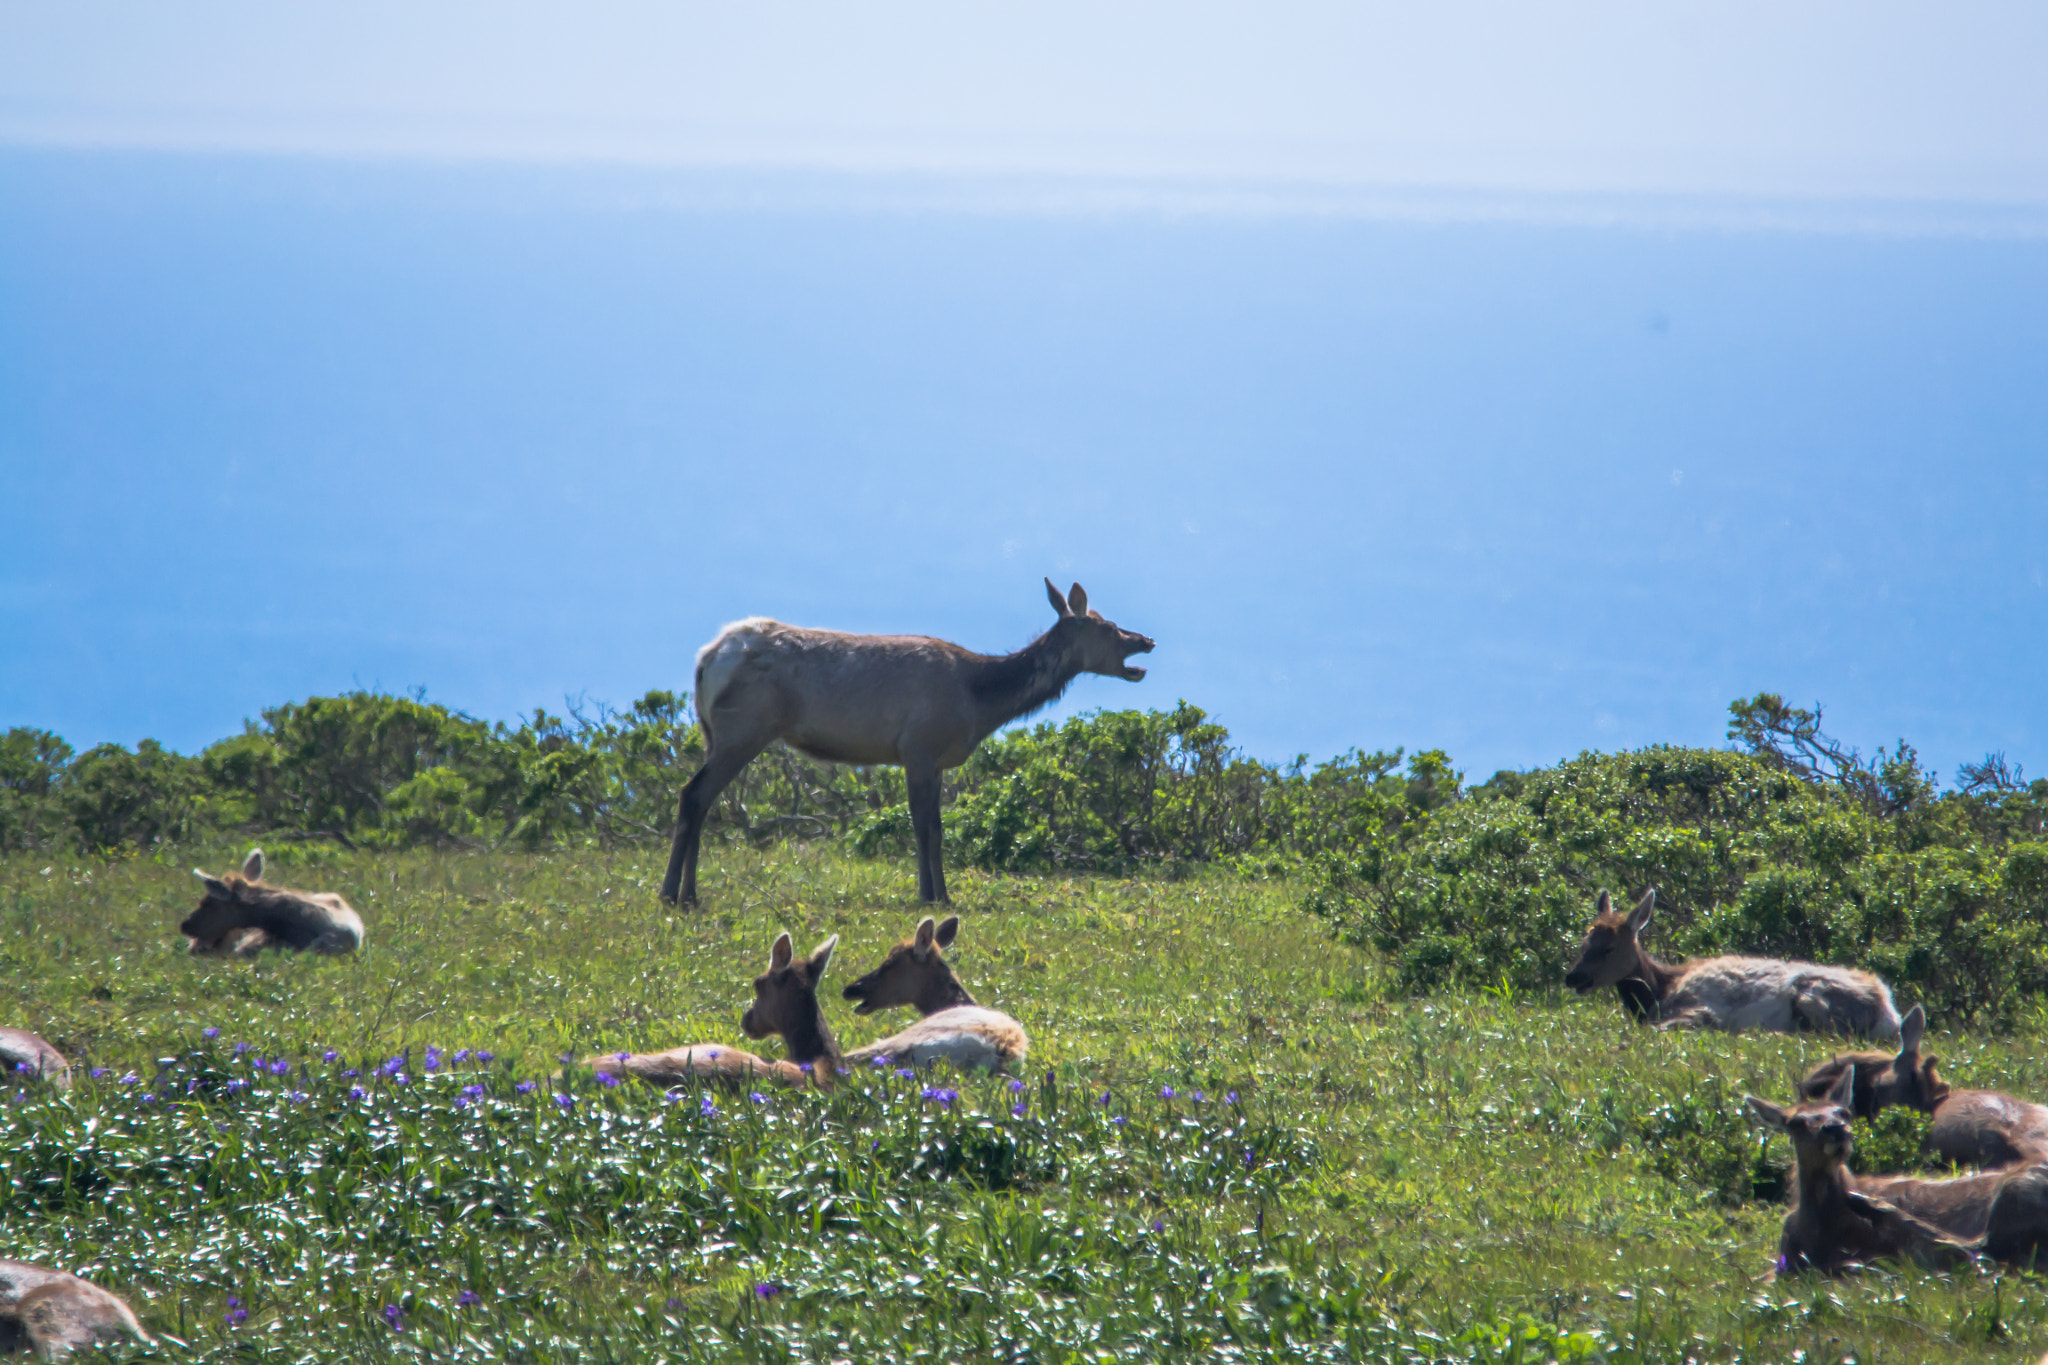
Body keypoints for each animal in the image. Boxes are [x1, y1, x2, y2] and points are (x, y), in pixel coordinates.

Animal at [659, 579, 1154, 907]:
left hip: (714, 733)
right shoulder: (919, 746)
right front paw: (933, 898)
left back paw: (689, 893)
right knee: (693, 794)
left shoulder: (934, 761)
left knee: (701, 799)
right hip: (745, 728)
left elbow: (935, 828)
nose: (1146, 639)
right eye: (1108, 627)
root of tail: (707, 659)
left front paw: (936, 894)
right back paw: (671, 894)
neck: (978, 701)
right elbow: (925, 828)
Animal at [1563, 888, 1901, 1039]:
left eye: (1608, 948)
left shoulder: (1699, 1008)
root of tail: (1888, 1011)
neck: (1657, 992)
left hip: (1815, 996)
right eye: (1583, 942)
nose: (1573, 978)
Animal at [1748, 1066, 2048, 1273]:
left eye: (1843, 1112)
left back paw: (1875, 1208)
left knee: (1979, 1248)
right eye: (1796, 1122)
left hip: (2016, 1188)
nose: (1835, 1129)